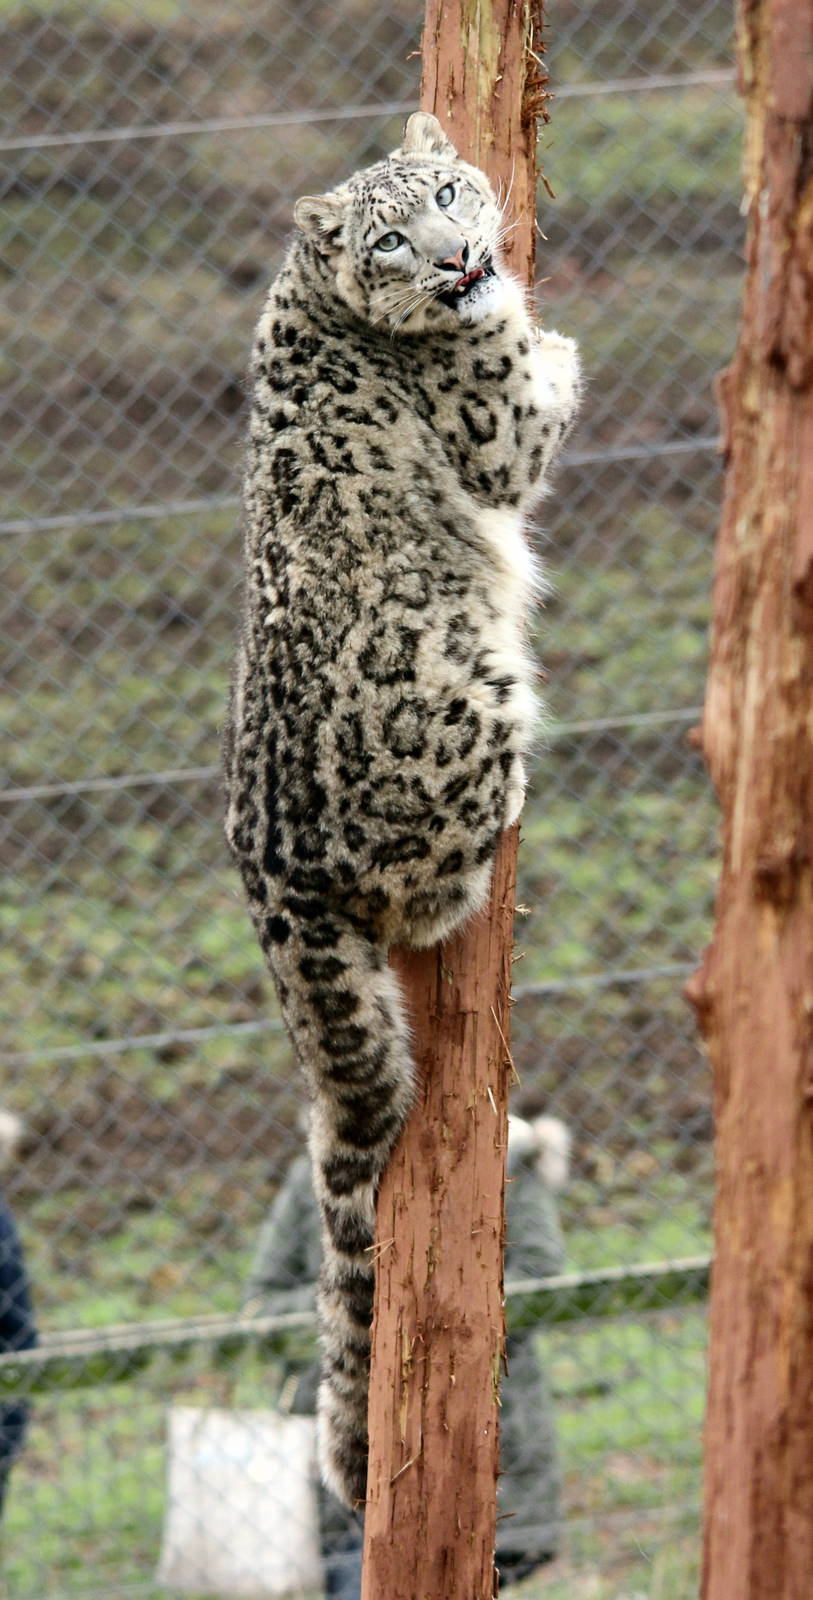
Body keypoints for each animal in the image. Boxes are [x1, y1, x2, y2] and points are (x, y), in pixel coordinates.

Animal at [223, 109, 581, 1509]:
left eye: (445, 193)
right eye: (389, 238)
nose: (459, 259)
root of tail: (270, 871)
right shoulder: (495, 430)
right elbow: (528, 401)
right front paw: (548, 337)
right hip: (471, 698)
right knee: (431, 894)